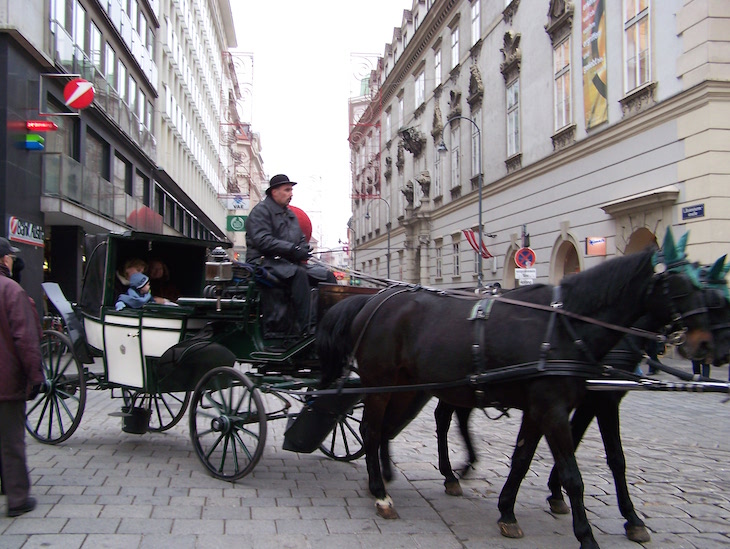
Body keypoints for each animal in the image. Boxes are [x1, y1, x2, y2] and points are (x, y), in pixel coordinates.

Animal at [318, 243, 712, 548]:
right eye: (678, 285)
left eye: (707, 285)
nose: (706, 346)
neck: (565, 327)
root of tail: (373, 301)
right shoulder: (557, 409)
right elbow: (573, 474)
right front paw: (586, 534)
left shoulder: (544, 408)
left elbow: (524, 459)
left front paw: (508, 511)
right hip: (381, 384)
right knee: (371, 430)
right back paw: (381, 493)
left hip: (409, 388)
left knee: (392, 428)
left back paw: (398, 478)